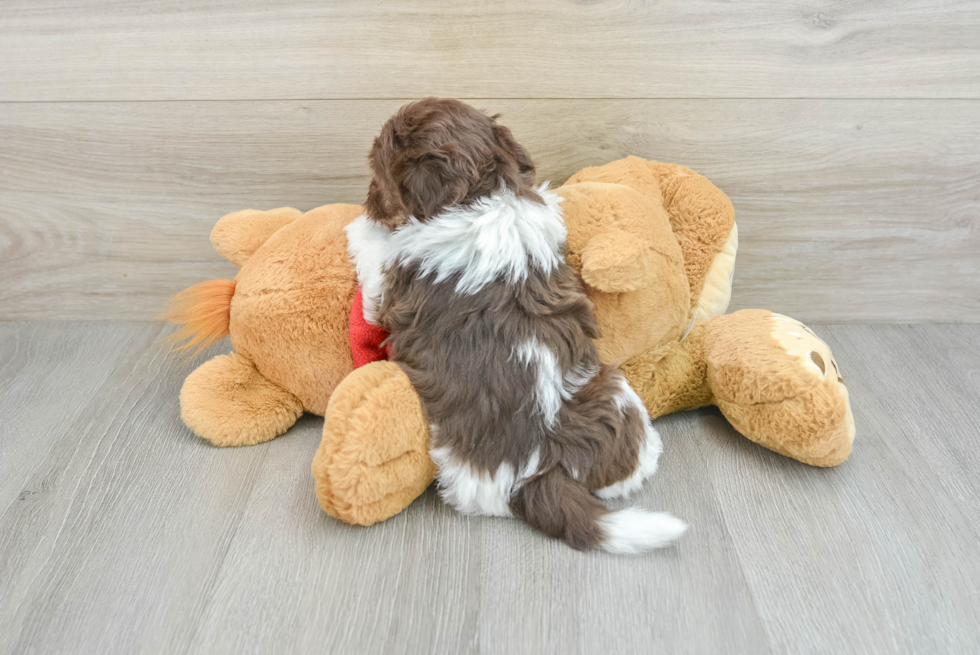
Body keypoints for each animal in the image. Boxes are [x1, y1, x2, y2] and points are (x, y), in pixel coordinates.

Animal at [348, 98, 684, 552]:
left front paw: (359, 225)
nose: (369, 202)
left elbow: (372, 255)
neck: (485, 194)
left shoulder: (389, 289)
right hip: (617, 395)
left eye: (378, 172)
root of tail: (542, 467)